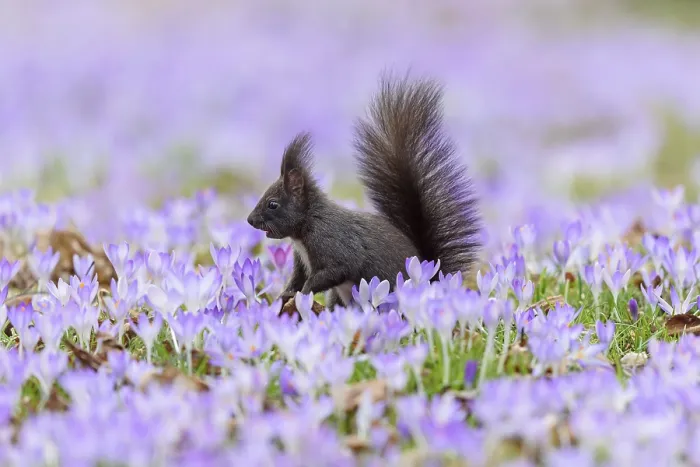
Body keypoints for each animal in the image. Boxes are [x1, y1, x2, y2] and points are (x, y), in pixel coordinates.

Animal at [246, 73, 481, 310]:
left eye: (273, 204)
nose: (250, 220)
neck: (307, 224)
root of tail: (431, 283)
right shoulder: (301, 261)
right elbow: (297, 278)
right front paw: (286, 295)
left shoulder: (333, 245)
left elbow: (332, 272)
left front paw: (302, 295)